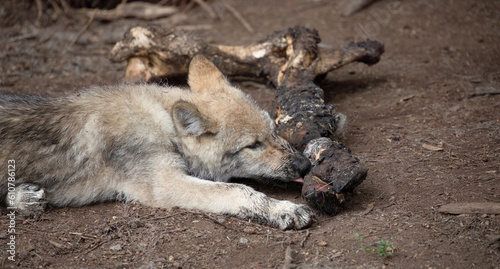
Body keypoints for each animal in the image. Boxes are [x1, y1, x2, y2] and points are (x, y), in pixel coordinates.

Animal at [0, 55, 312, 229]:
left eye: (273, 131)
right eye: (253, 145)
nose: (305, 165)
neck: (164, 124)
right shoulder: (165, 185)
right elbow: (239, 190)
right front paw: (285, 210)